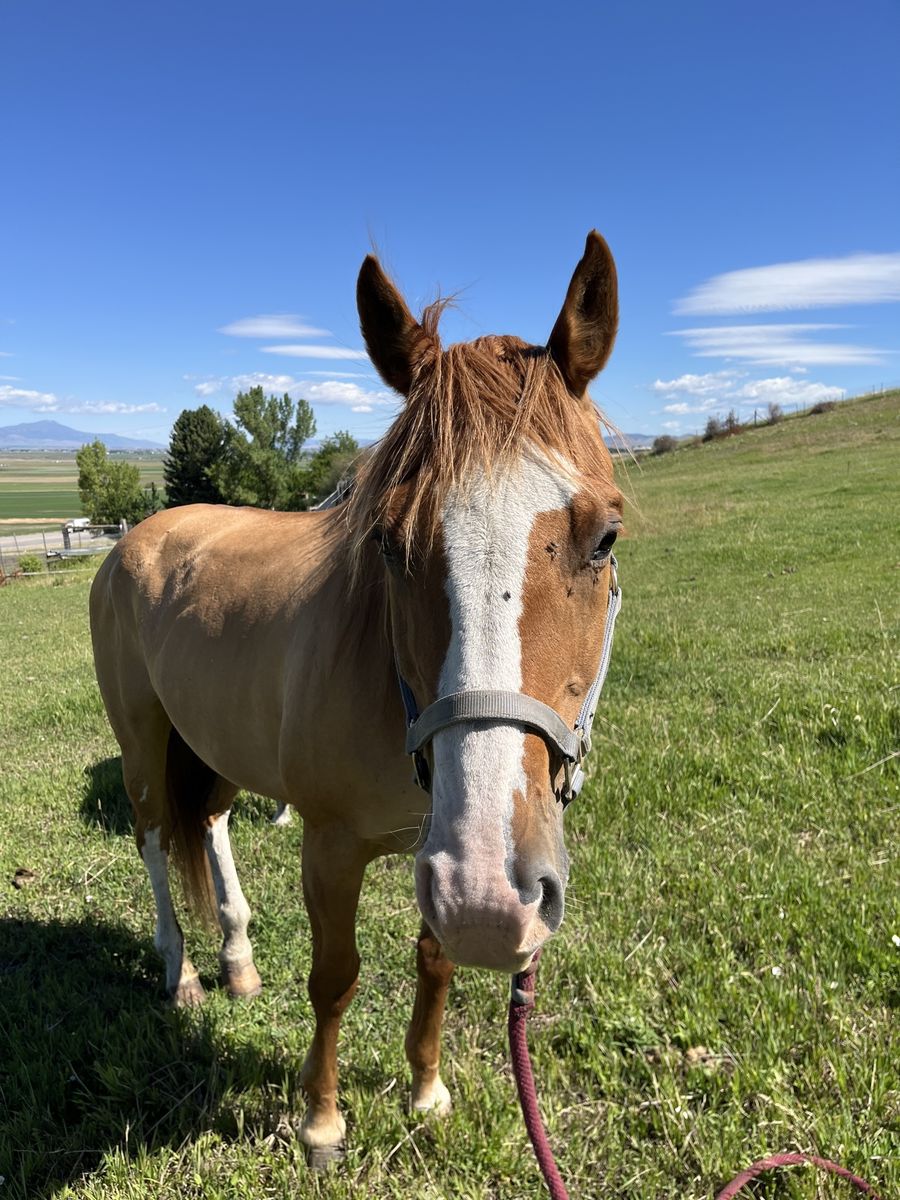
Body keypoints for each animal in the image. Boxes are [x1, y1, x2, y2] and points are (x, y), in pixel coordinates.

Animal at [89, 230, 623, 1161]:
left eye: (605, 538)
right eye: (387, 540)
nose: (494, 902)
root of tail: (136, 538)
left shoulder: (437, 857)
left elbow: (435, 961)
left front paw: (426, 1090)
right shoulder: (332, 849)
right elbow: (335, 979)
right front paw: (322, 1120)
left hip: (214, 741)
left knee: (212, 820)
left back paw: (237, 958)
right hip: (144, 741)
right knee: (155, 835)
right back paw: (180, 969)